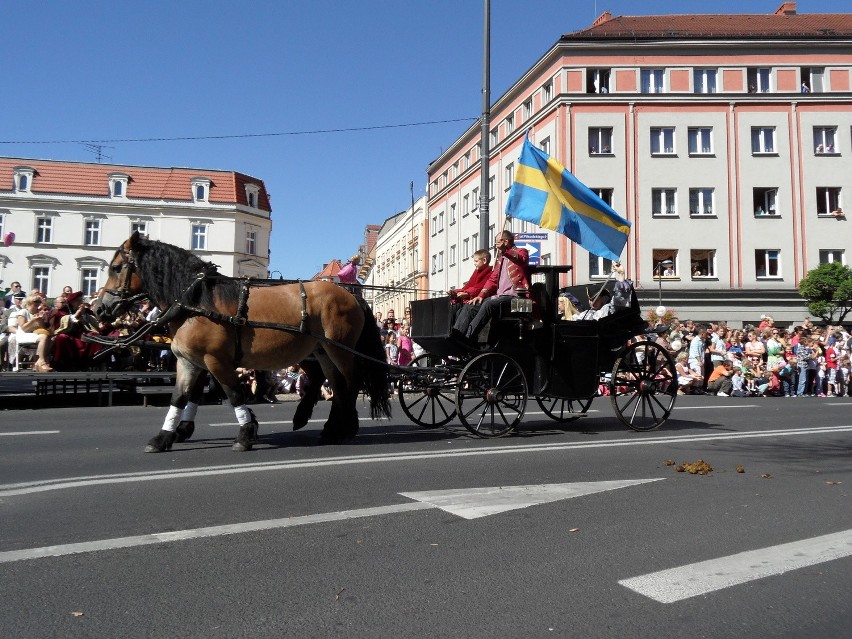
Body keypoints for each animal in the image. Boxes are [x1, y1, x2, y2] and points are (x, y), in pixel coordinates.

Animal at [91, 232, 392, 452]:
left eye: (116, 267)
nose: (98, 309)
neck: (195, 302)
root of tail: (350, 295)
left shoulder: (215, 360)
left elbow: (233, 394)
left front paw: (245, 434)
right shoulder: (189, 362)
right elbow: (182, 397)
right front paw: (165, 436)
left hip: (339, 350)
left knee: (351, 383)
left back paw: (347, 426)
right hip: (322, 351)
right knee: (336, 386)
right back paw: (330, 428)